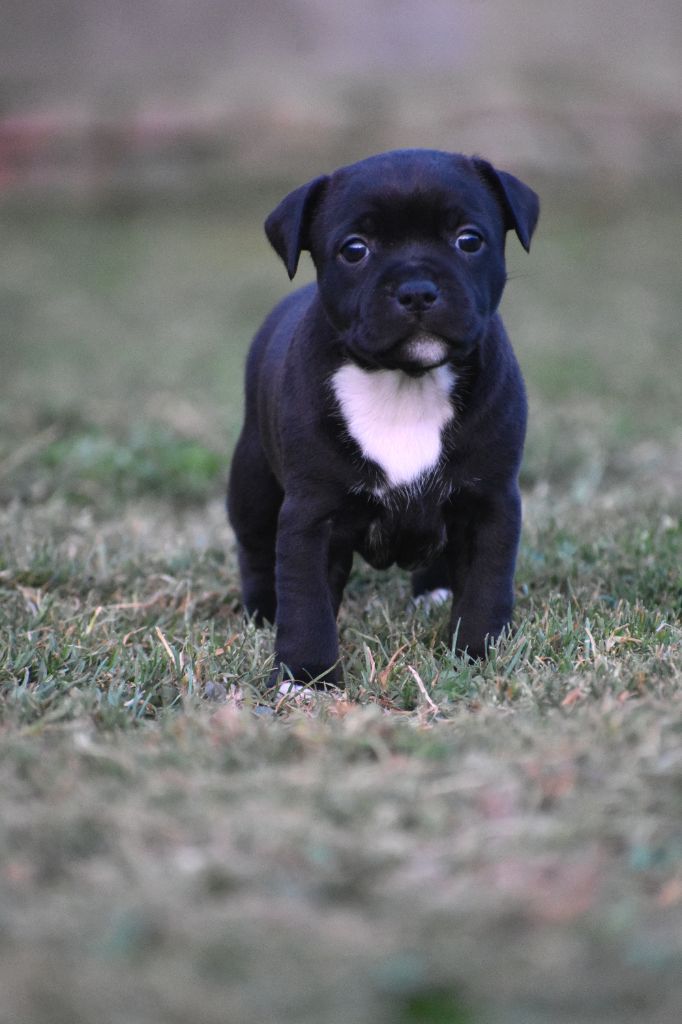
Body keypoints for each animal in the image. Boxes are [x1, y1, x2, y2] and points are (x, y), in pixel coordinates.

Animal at [228, 148, 539, 686]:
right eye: (355, 250)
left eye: (469, 240)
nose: (416, 289)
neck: (405, 381)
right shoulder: (312, 515)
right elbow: (306, 601)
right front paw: (305, 676)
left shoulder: (489, 503)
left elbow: (485, 588)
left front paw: (476, 653)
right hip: (252, 480)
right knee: (254, 546)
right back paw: (262, 611)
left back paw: (432, 593)